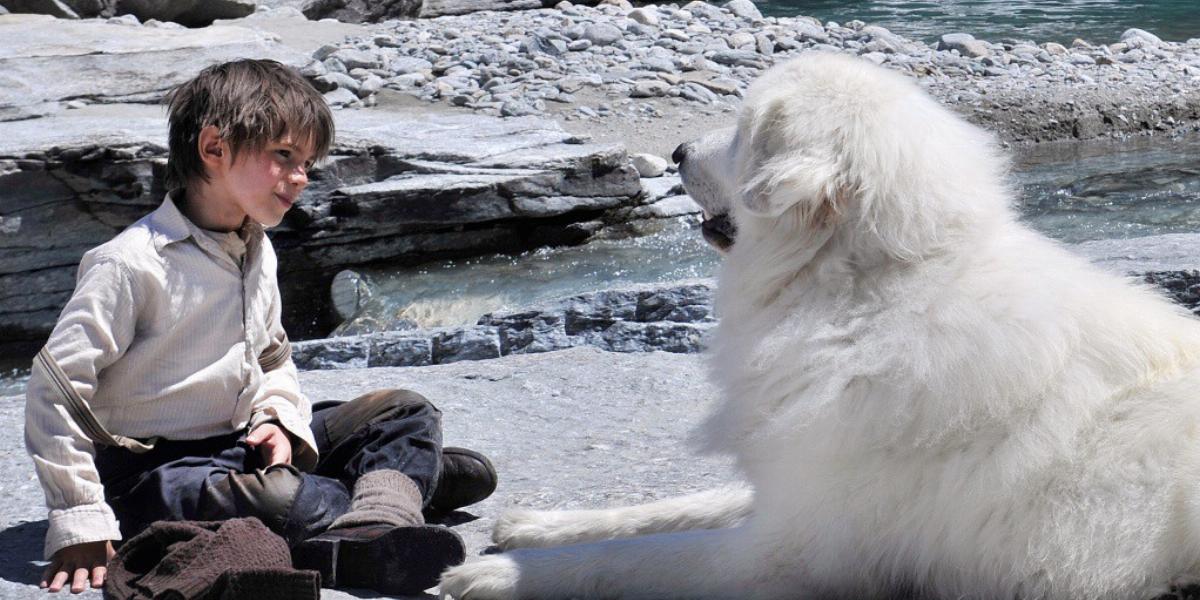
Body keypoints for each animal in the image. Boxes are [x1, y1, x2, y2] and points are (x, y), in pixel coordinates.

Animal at [439, 54, 1200, 597]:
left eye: (742, 136)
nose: (677, 149)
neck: (866, 291)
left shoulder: (785, 553)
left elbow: (634, 558)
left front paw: (501, 576)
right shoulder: (792, 481)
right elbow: (671, 508)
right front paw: (542, 525)